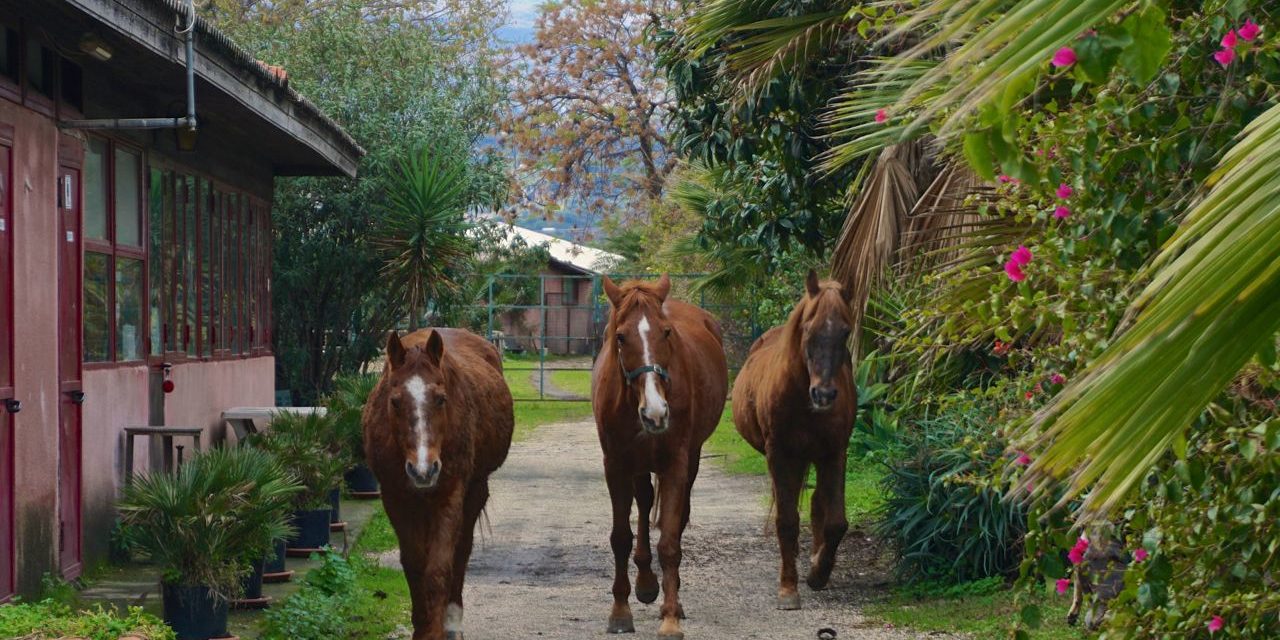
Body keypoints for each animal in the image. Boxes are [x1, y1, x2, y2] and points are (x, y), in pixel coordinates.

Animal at [363, 328, 514, 640]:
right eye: (395, 401)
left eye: (441, 399)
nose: (424, 470)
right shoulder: (395, 498)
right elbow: (414, 565)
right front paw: (422, 627)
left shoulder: (450, 495)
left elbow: (439, 568)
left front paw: (435, 630)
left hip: (474, 491)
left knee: (462, 551)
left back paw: (452, 622)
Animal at [592, 274, 728, 639]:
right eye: (620, 336)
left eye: (666, 332)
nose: (655, 413)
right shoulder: (616, 466)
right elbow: (621, 538)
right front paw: (620, 611)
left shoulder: (675, 465)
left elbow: (669, 542)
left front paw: (670, 617)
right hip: (638, 465)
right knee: (643, 500)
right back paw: (645, 582)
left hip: (689, 459)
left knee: (675, 519)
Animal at [731, 270, 856, 611]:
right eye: (809, 329)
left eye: (845, 332)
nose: (824, 394)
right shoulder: (781, 455)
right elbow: (787, 521)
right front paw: (788, 588)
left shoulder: (834, 453)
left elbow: (836, 522)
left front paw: (818, 573)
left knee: (817, 504)